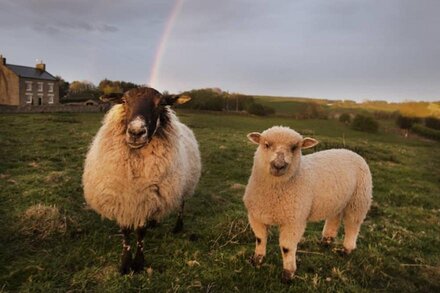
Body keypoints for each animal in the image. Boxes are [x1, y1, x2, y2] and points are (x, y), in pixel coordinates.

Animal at [82, 86, 201, 274]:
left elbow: (140, 232)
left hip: (185, 183)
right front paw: (125, 264)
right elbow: (125, 233)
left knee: (182, 204)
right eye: (124, 101)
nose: (136, 132)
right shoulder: (123, 200)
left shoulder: (145, 199)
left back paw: (177, 227)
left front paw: (138, 263)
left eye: (161, 104)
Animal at [242, 125, 372, 280]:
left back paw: (346, 250)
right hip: (338, 200)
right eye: (266, 145)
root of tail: (350, 151)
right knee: (334, 218)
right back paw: (326, 240)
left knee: (352, 225)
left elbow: (287, 248)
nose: (279, 165)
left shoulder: (294, 221)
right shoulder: (256, 216)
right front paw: (257, 260)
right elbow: (260, 239)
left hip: (358, 199)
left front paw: (288, 273)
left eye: (294, 148)